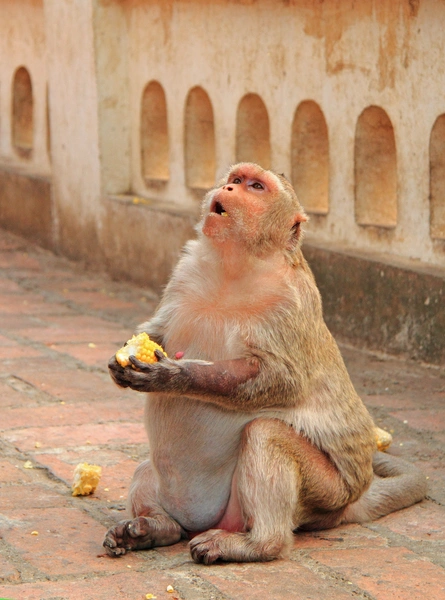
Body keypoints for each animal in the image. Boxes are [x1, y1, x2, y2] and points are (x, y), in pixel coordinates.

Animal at [103, 162, 426, 564]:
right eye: (236, 180)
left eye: (256, 187)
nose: (228, 188)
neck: (233, 268)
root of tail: (351, 500)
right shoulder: (185, 271)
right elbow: (159, 330)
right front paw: (122, 361)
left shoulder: (289, 302)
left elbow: (281, 380)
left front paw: (175, 376)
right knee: (155, 479)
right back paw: (155, 527)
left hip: (326, 492)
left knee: (266, 433)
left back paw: (257, 544)